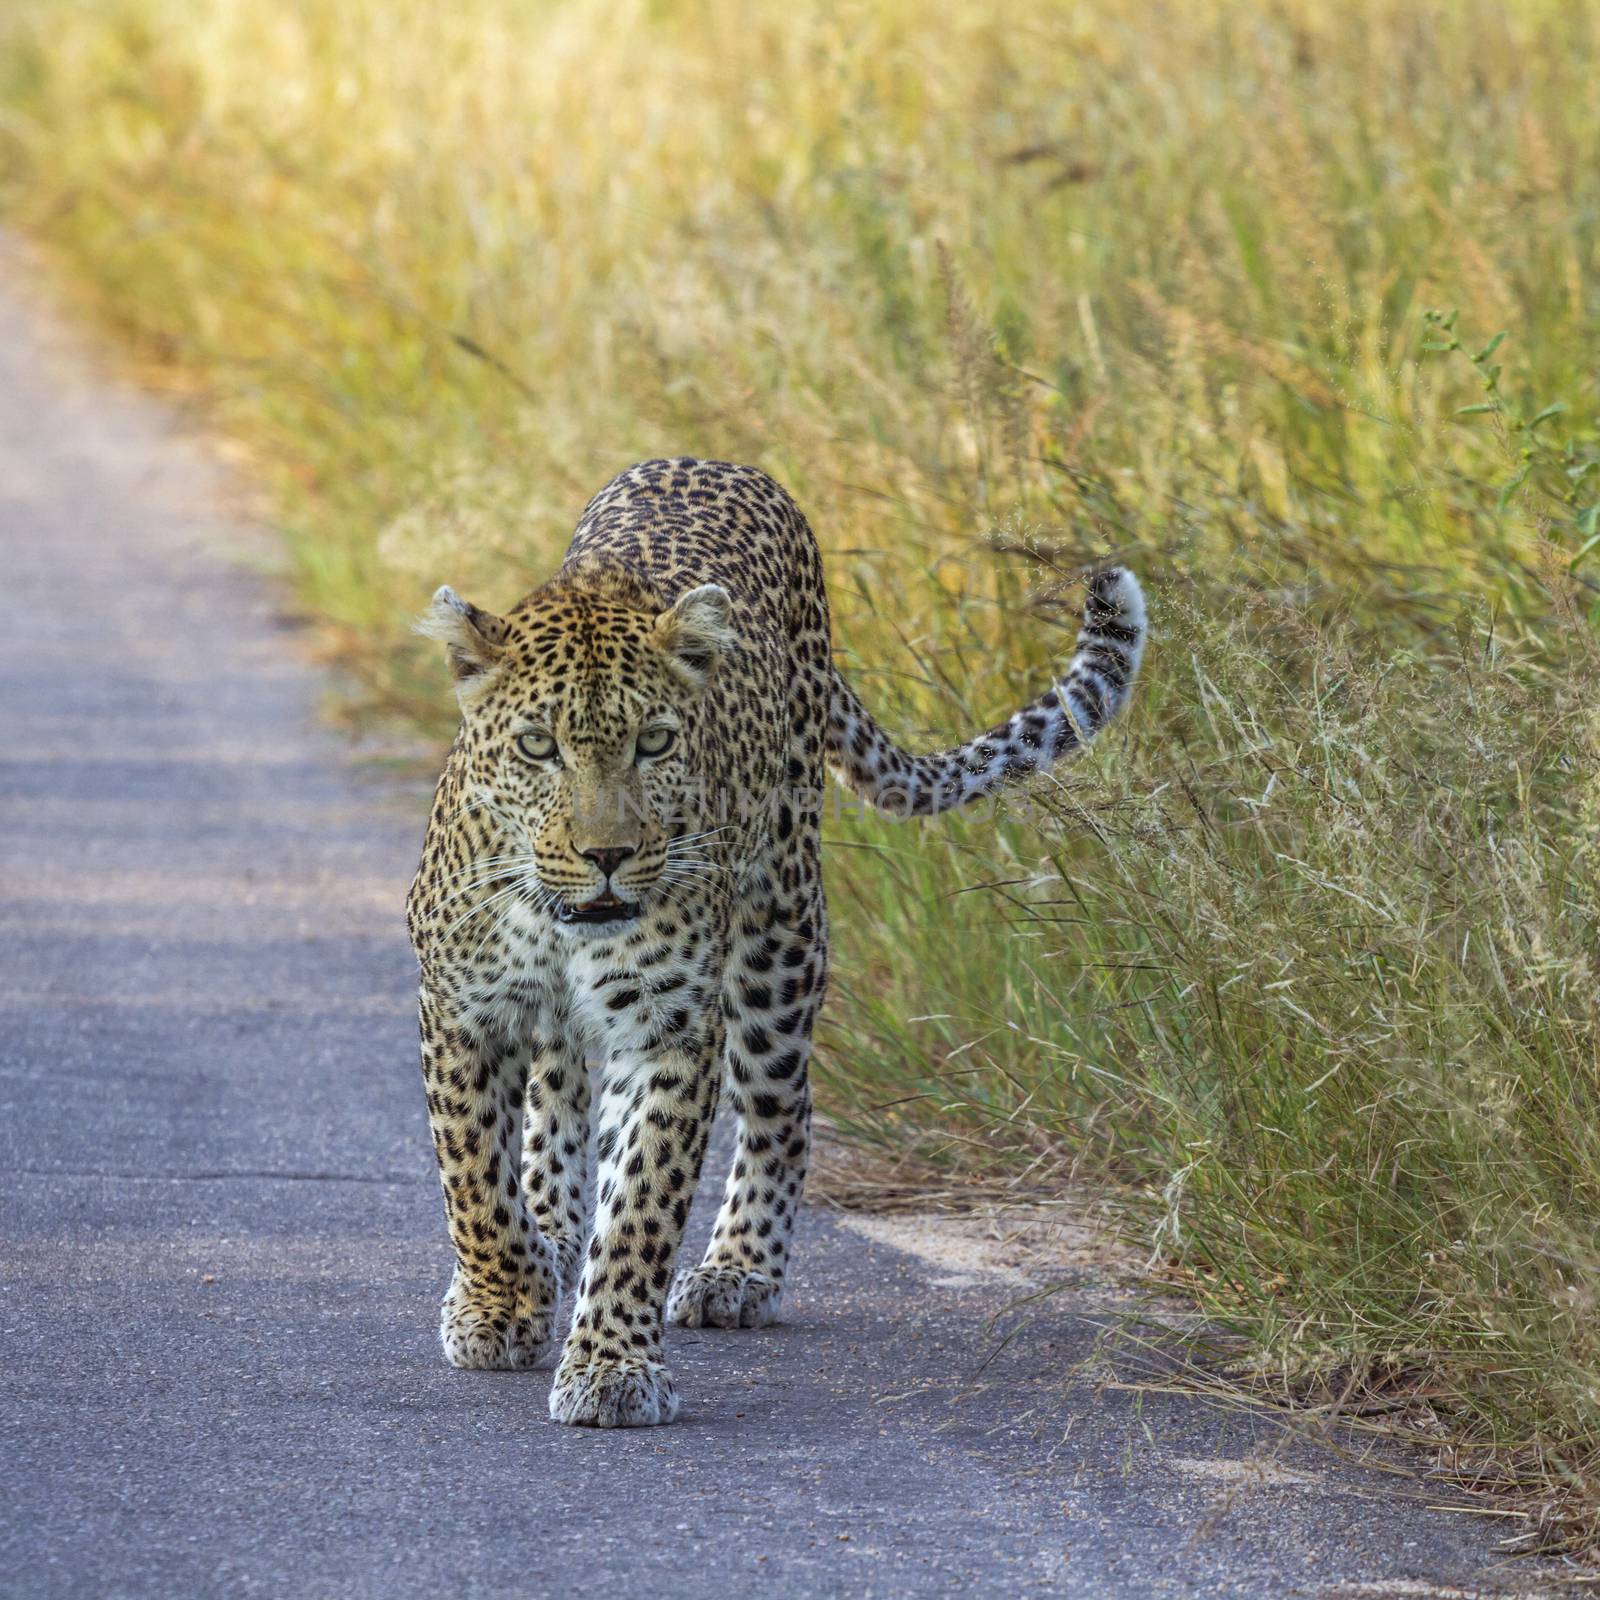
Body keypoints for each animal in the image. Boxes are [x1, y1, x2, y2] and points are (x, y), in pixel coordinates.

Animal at [406, 457, 1145, 1433]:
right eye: (537, 746)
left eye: (655, 742)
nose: (607, 856)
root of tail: (717, 462)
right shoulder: (462, 1010)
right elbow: (475, 1182)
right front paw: (502, 1300)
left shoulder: (672, 1029)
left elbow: (641, 1206)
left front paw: (611, 1366)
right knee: (557, 1093)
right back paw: (555, 1234)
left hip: (781, 933)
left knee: (779, 1110)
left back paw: (737, 1270)